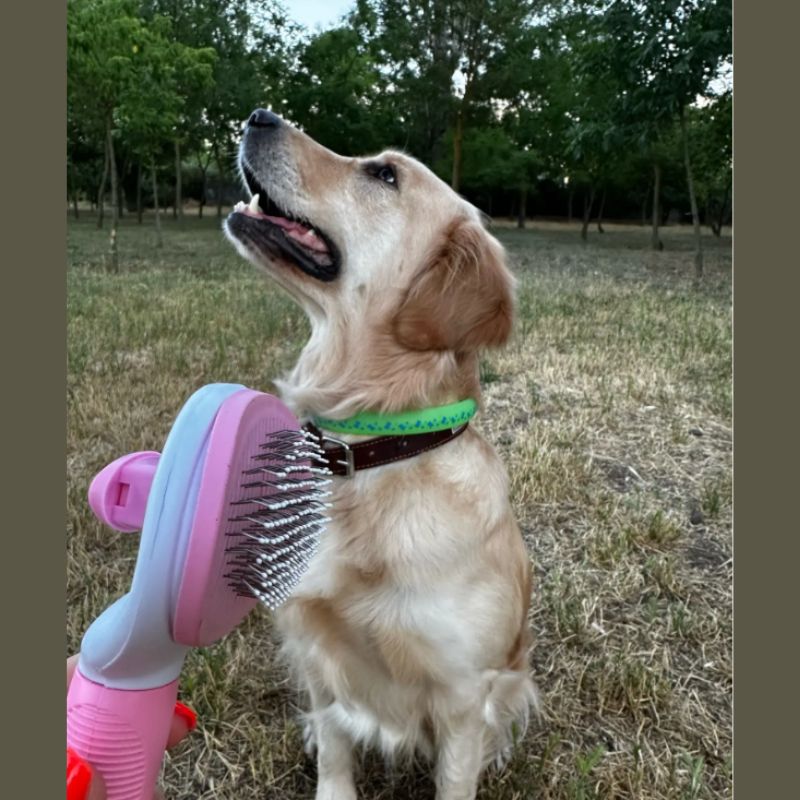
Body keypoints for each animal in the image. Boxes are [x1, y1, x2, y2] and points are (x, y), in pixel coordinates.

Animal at [225, 108, 536, 800]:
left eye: (384, 174)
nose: (259, 114)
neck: (370, 454)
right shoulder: (318, 647)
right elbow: (337, 751)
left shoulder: (461, 693)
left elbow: (457, 775)